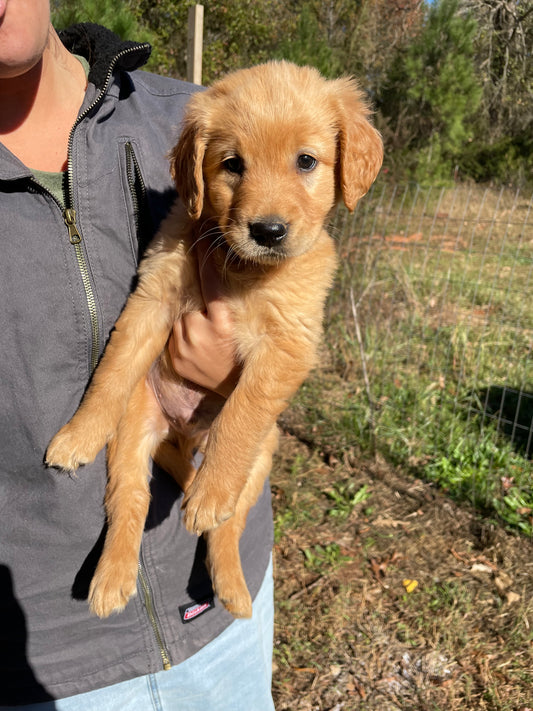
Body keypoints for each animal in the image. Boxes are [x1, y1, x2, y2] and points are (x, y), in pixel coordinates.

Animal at [44, 62, 378, 616]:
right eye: (232, 164)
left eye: (306, 161)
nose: (268, 231)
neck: (243, 269)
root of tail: (183, 435)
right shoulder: (152, 299)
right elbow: (113, 370)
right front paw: (77, 433)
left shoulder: (290, 343)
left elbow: (241, 415)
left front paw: (210, 495)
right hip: (135, 427)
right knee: (130, 500)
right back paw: (112, 578)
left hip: (265, 451)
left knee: (230, 523)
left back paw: (229, 575)